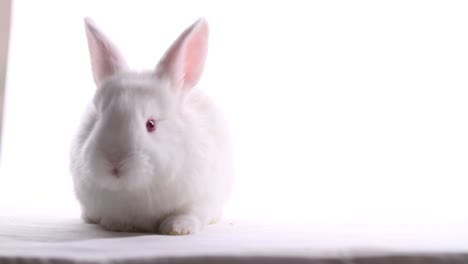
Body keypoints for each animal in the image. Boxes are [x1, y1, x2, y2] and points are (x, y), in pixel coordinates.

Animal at [70, 17, 234, 234]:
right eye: (98, 119)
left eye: (151, 124)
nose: (114, 163)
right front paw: (118, 225)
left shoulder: (200, 199)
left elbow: (188, 213)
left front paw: (177, 228)